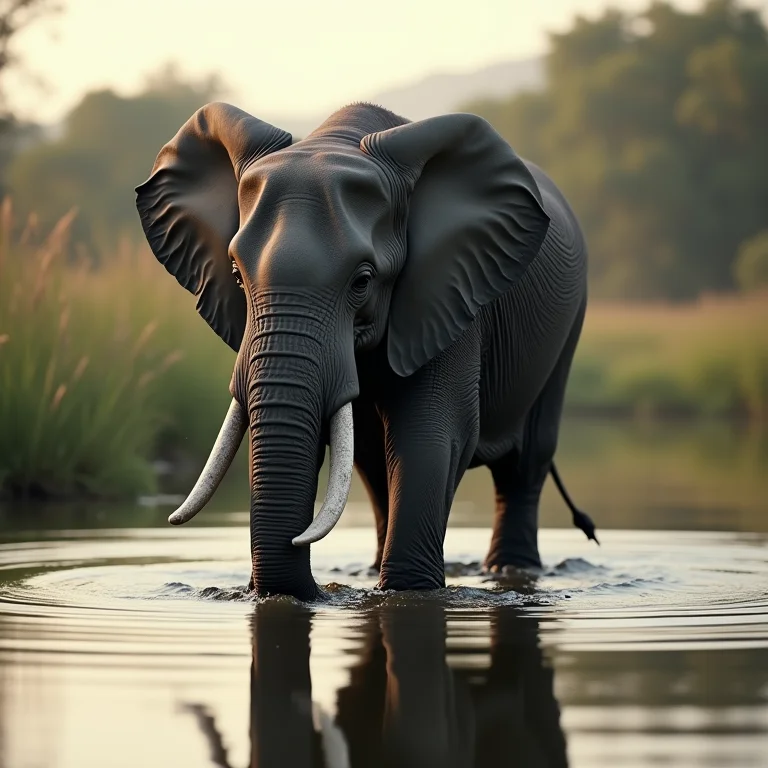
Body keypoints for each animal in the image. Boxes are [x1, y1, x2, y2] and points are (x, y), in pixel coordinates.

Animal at [135, 101, 597, 599]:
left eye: (362, 281)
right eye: (237, 276)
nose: (298, 545)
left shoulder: (447, 292)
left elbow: (431, 432)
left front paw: (411, 592)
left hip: (570, 323)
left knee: (525, 465)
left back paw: (511, 570)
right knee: (376, 468)